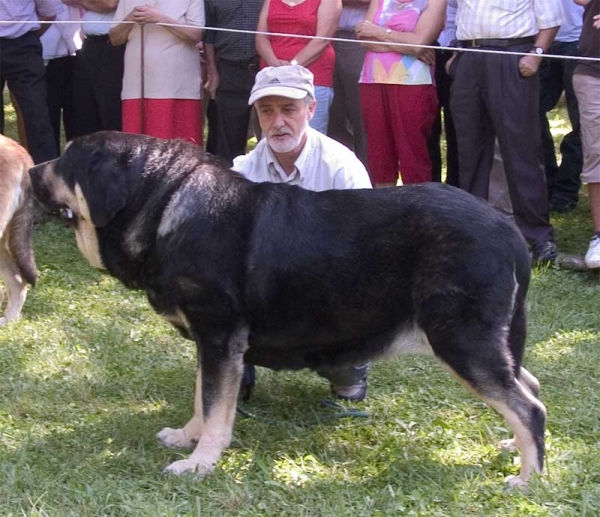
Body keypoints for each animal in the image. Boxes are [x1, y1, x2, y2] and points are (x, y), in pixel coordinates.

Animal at [30, 131, 548, 486]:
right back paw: (515, 448)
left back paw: (528, 479)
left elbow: (216, 408)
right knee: (530, 388)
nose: (33, 170)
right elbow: (202, 397)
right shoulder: (210, 343)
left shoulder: (219, 336)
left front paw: (200, 463)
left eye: (67, 160)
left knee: (528, 406)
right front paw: (187, 436)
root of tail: (506, 229)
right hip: (487, 342)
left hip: (461, 341)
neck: (163, 205)